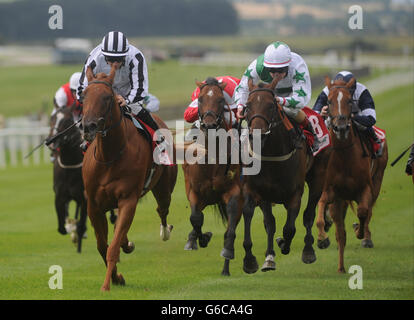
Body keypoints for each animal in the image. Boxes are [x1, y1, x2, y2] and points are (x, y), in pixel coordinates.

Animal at [81, 63, 177, 292]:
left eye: (107, 97)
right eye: (84, 94)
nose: (88, 126)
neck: (110, 156)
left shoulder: (128, 200)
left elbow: (112, 247)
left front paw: (107, 284)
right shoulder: (94, 205)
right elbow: (102, 245)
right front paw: (116, 277)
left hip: (164, 189)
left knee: (162, 209)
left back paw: (164, 231)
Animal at [183, 77, 244, 276]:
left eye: (220, 100)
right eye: (200, 99)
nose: (209, 125)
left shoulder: (234, 192)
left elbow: (230, 229)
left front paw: (226, 252)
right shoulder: (194, 191)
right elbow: (195, 218)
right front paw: (201, 238)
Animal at [239, 76, 314, 274]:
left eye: (271, 105)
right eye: (248, 105)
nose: (257, 135)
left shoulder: (295, 193)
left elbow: (289, 228)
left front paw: (284, 244)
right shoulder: (256, 191)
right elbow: (261, 219)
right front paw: (253, 260)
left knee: (309, 213)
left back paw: (308, 251)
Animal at [316, 77, 390, 272]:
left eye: (350, 101)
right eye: (328, 101)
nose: (340, 126)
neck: (344, 156)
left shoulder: (365, 189)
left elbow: (364, 212)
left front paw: (360, 231)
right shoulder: (331, 192)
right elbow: (321, 214)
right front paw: (322, 237)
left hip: (377, 180)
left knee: (367, 211)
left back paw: (364, 236)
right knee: (340, 233)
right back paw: (341, 267)